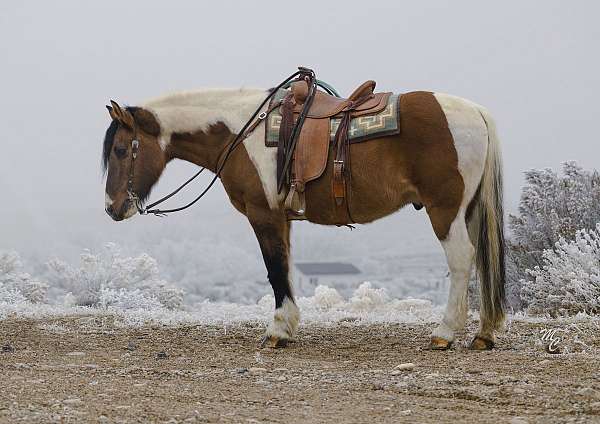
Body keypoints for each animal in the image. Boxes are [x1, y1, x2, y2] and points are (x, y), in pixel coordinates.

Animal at [103, 83, 506, 352]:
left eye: (121, 149)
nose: (112, 207)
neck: (241, 133)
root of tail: (476, 112)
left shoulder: (263, 214)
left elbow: (274, 268)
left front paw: (278, 331)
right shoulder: (283, 219)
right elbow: (285, 267)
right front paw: (289, 326)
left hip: (445, 209)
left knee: (461, 260)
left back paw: (445, 333)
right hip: (468, 210)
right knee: (482, 260)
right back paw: (484, 333)